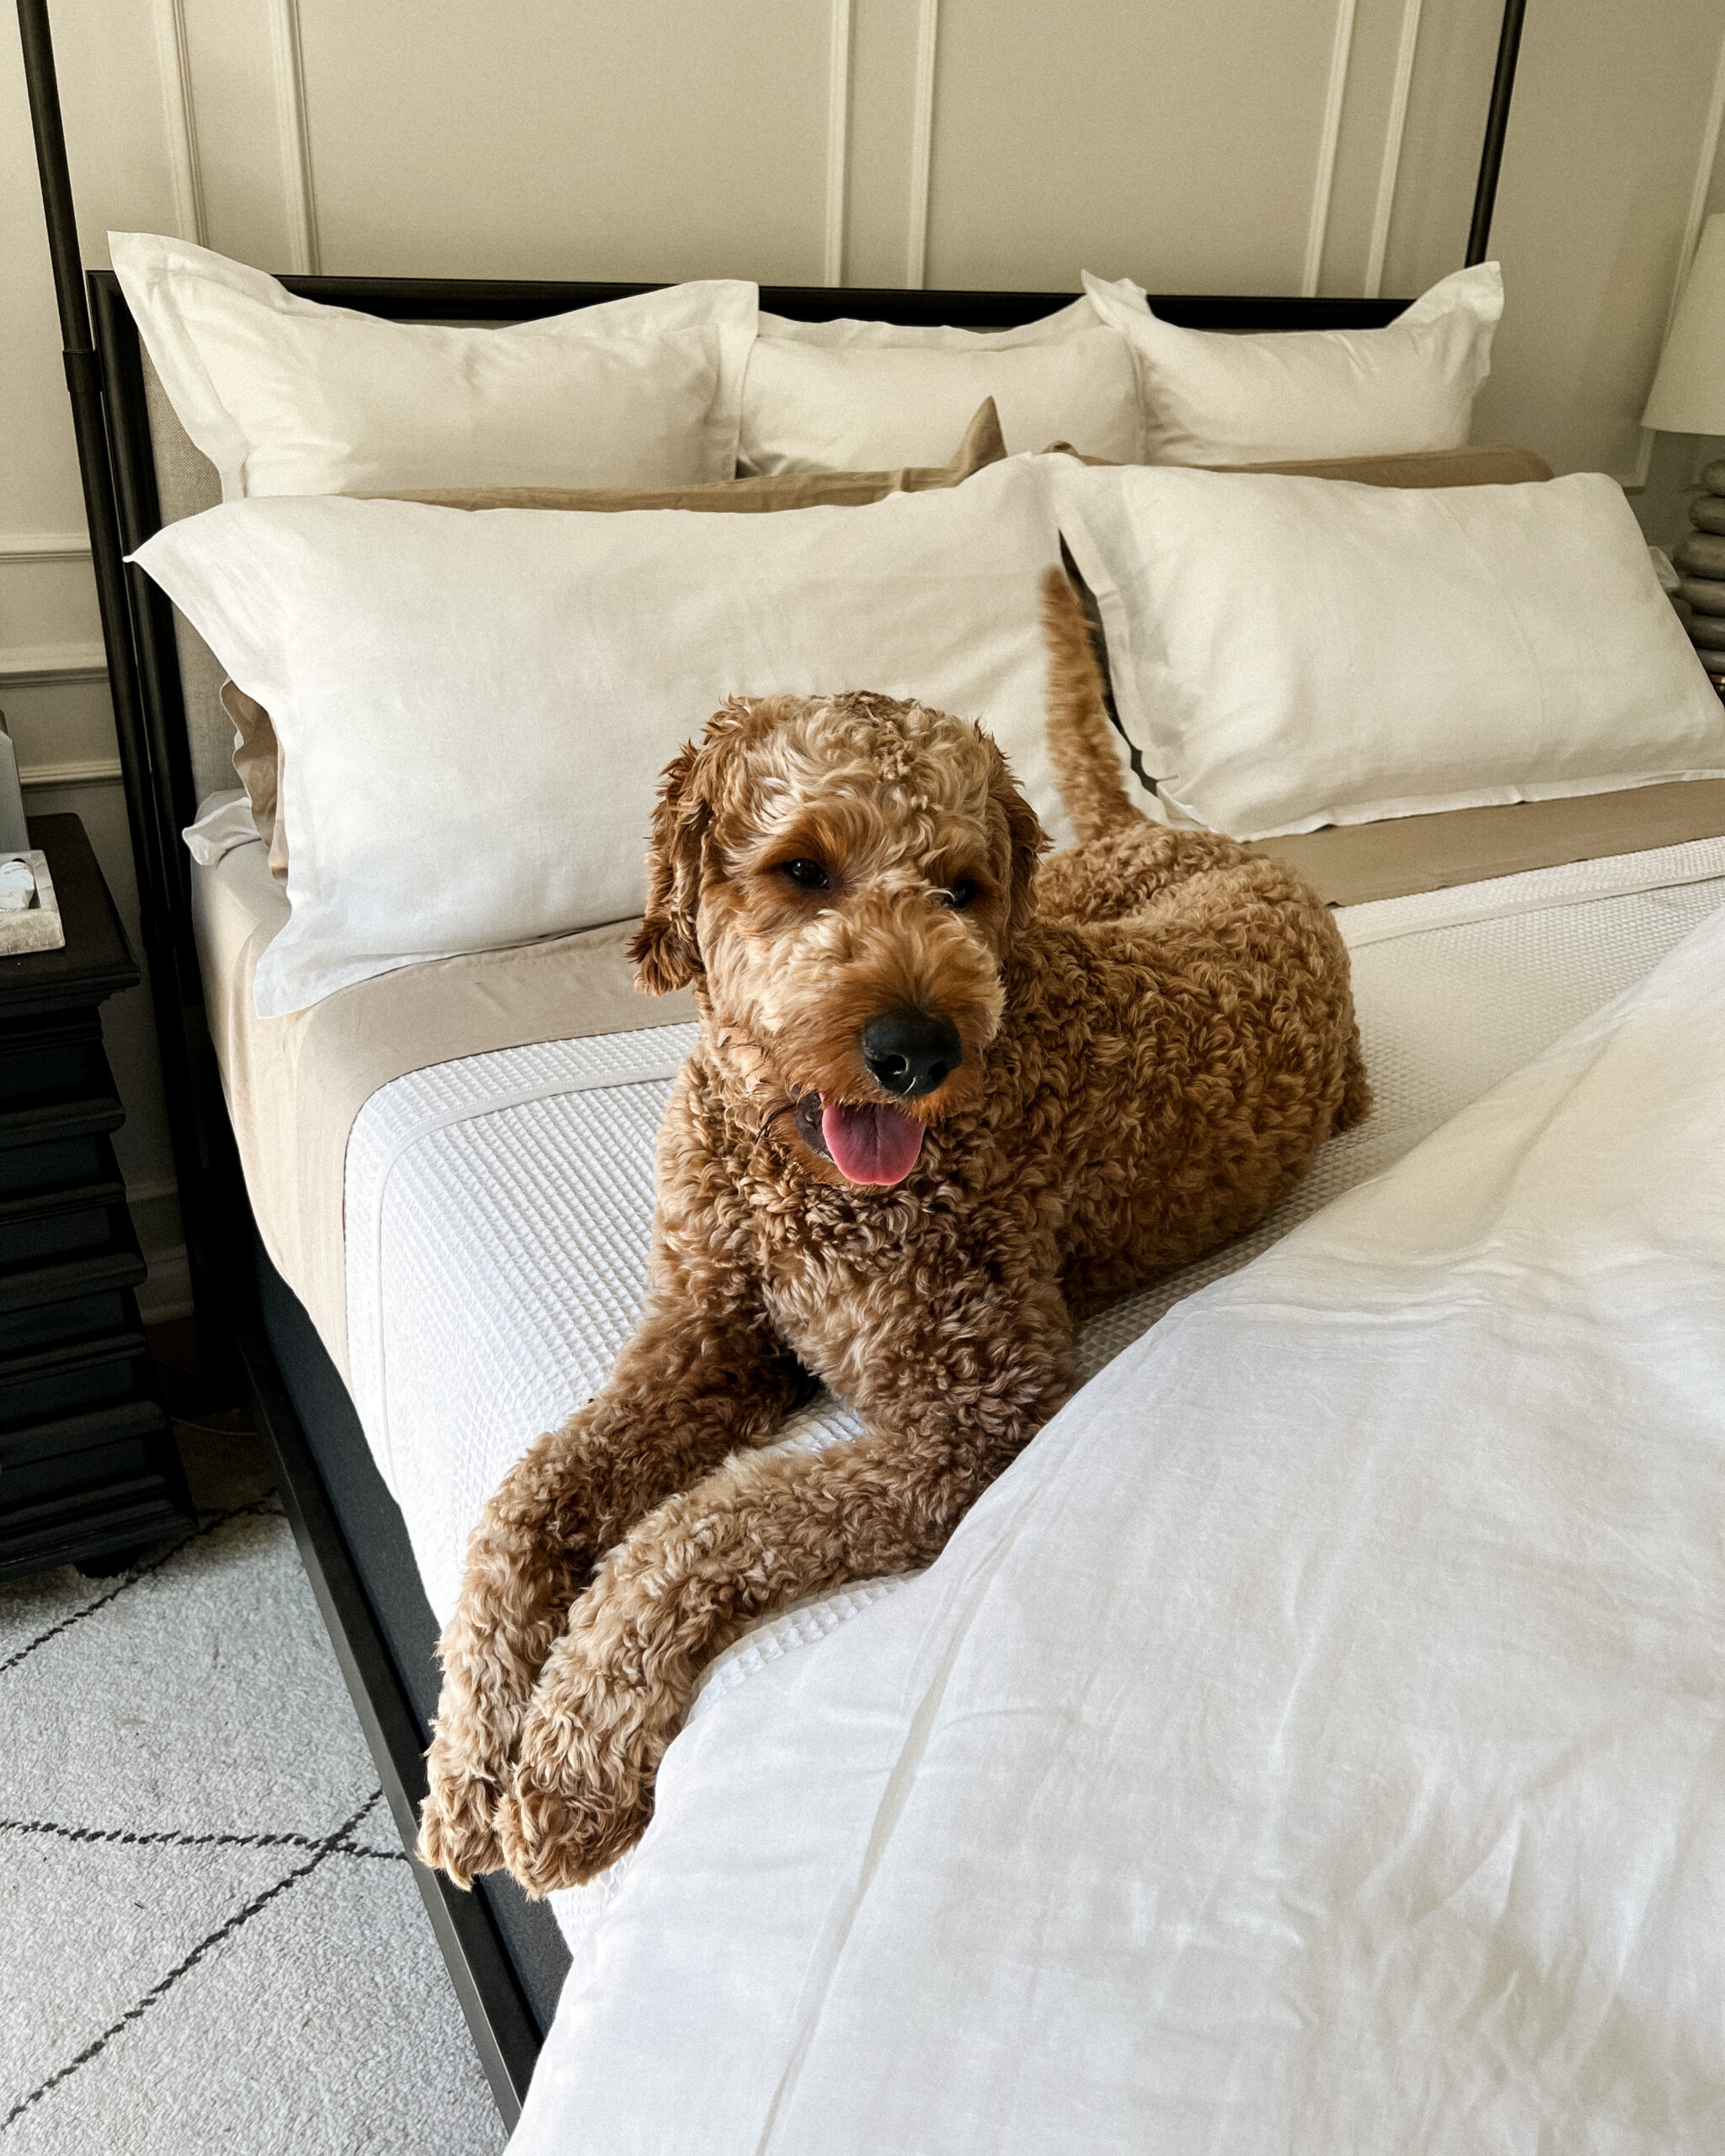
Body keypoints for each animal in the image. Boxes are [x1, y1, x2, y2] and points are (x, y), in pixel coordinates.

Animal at [418, 568, 1362, 1888]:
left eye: (960, 886)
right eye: (801, 869)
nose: (917, 1049)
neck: (789, 1169)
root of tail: (1185, 833)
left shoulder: (973, 1415)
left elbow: (697, 1528)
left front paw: (570, 1752)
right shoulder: (706, 1339)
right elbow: (528, 1497)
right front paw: (470, 1752)